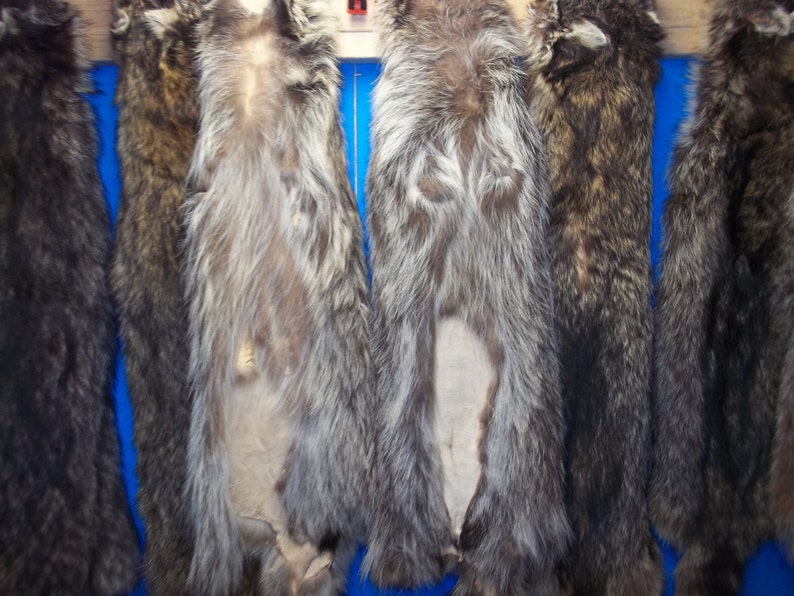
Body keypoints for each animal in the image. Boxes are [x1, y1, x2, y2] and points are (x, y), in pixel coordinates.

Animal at [362, 1, 570, 594]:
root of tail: (457, 535)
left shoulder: (504, 123)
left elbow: (508, 169)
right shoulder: (410, 129)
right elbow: (414, 173)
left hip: (518, 436)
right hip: (404, 439)